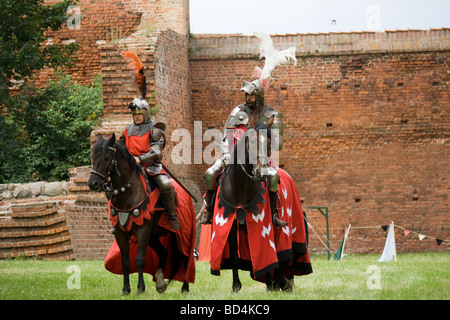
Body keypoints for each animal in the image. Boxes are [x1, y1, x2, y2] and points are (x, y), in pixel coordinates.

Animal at [88, 133, 193, 296]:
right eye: (93, 156)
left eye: (106, 157)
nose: (93, 184)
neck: (127, 193)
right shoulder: (120, 232)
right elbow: (125, 262)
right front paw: (126, 289)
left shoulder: (143, 230)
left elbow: (139, 260)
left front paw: (140, 288)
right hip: (154, 236)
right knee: (164, 253)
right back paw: (161, 282)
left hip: (182, 235)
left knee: (185, 257)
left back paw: (185, 287)